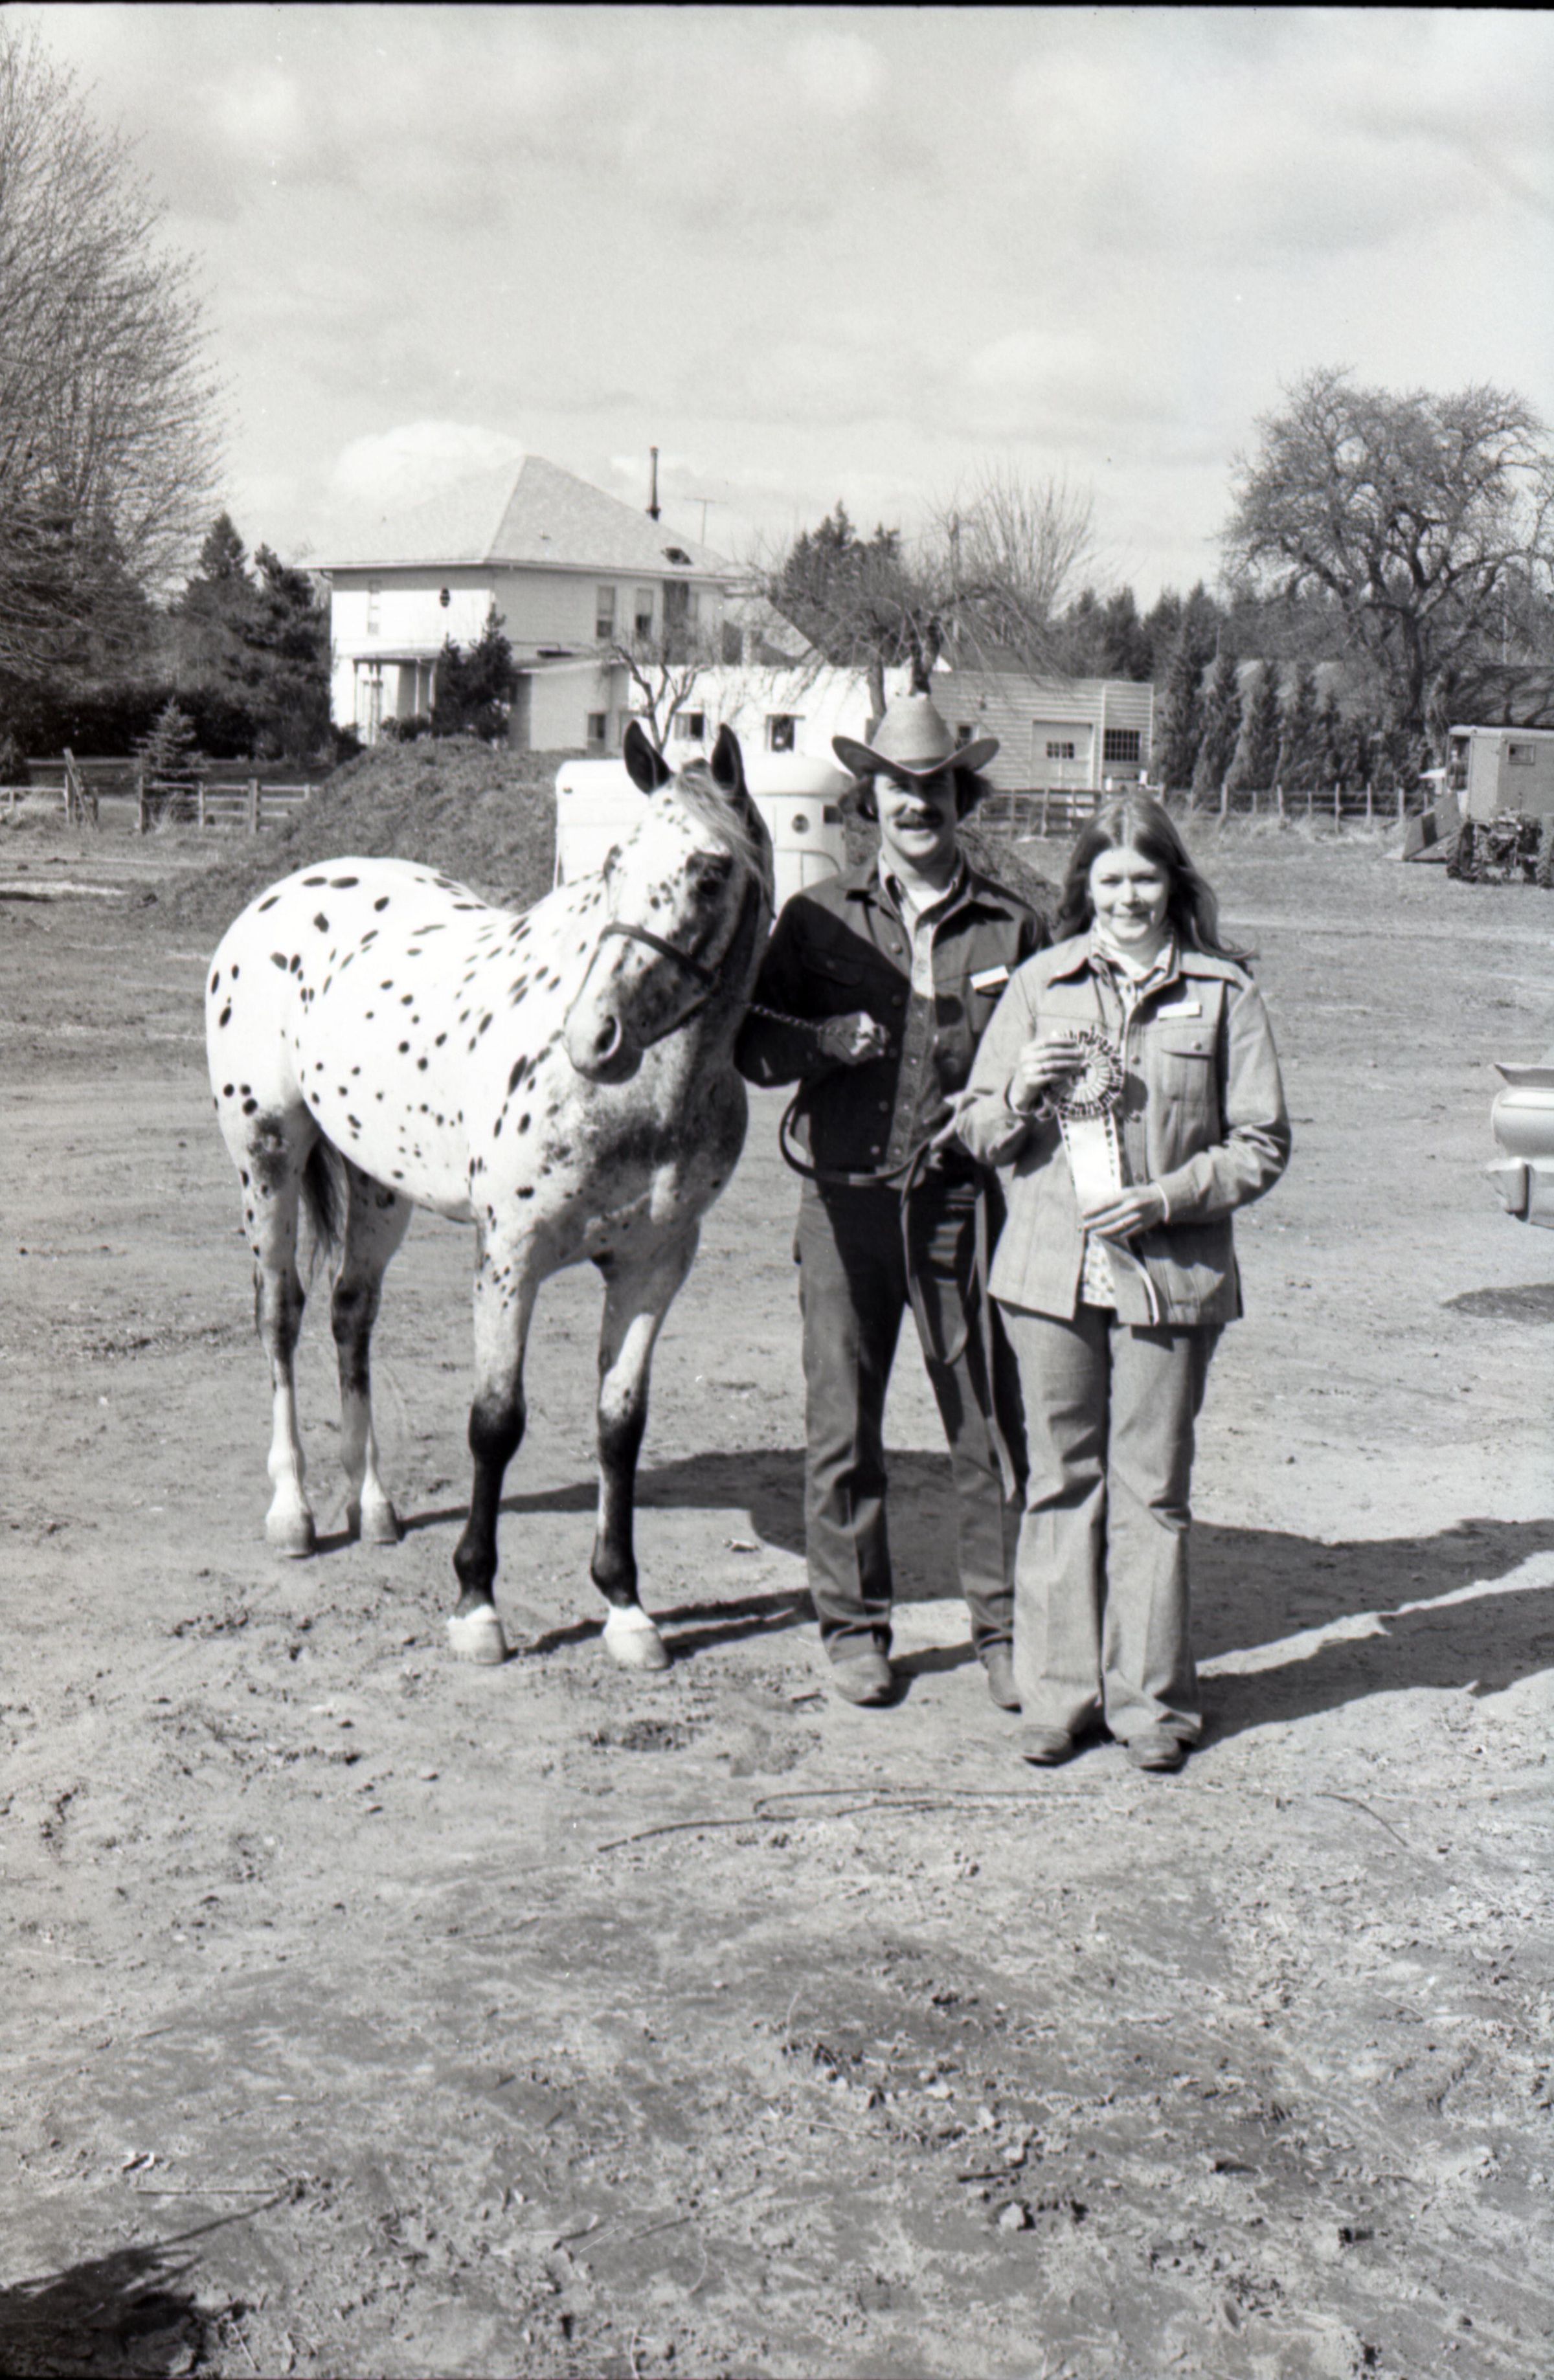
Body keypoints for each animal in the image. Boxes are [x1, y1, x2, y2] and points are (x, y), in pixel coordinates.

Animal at [205, 722, 773, 1670]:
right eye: (614, 862)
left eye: (709, 872)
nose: (594, 1037)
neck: (644, 1097)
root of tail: (278, 897)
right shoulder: (511, 1255)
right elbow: (496, 1422)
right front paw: (477, 1604)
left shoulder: (656, 1264)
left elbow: (620, 1426)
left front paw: (626, 1606)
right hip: (268, 1155)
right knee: (280, 1317)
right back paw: (294, 1513)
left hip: (378, 1185)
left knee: (350, 1317)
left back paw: (373, 1506)